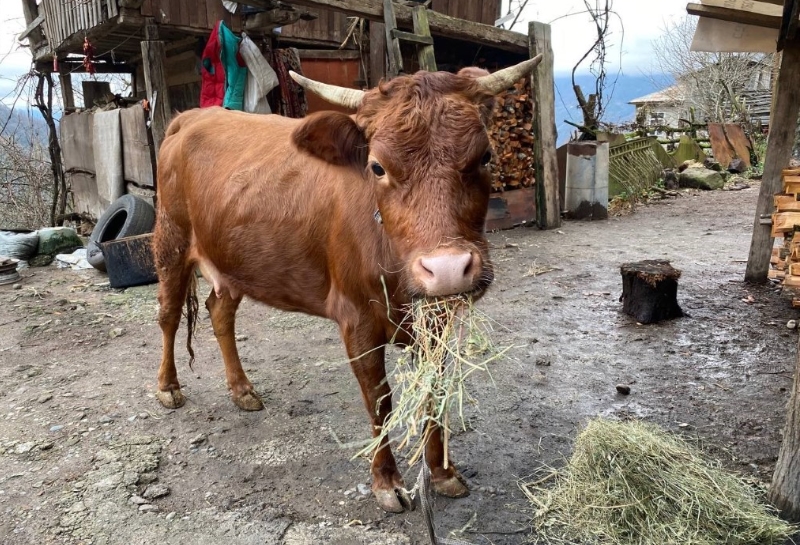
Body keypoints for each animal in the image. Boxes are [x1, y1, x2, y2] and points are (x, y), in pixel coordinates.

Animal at [152, 57, 544, 512]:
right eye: (377, 167)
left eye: (485, 156)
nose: (446, 269)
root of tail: (192, 117)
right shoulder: (356, 321)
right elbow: (379, 400)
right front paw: (387, 482)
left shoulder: (435, 320)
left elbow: (435, 392)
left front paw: (442, 472)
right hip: (171, 239)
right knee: (168, 315)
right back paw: (168, 387)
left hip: (232, 262)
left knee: (220, 313)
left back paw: (242, 390)